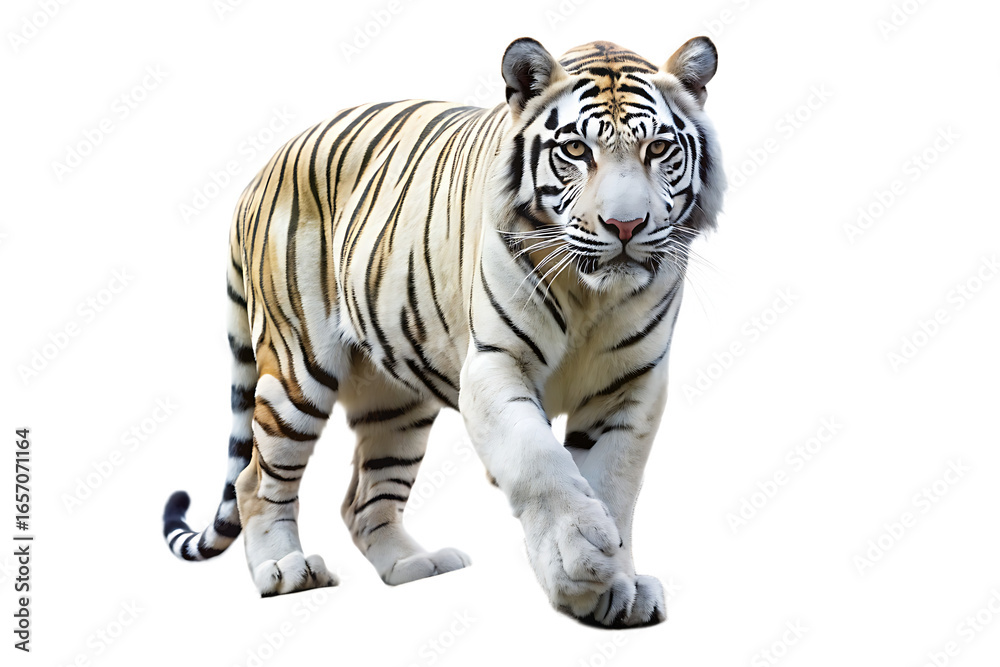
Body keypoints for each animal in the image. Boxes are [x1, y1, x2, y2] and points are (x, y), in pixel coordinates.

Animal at [161, 36, 724, 628]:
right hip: (297, 369)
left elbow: (614, 482)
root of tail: (262, 169)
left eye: (658, 149)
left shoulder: (631, 386)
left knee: (363, 499)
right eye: (575, 150)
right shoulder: (495, 363)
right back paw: (285, 570)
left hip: (395, 402)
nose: (625, 226)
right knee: (255, 478)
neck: (592, 296)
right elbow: (538, 459)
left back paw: (416, 564)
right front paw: (579, 558)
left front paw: (617, 586)